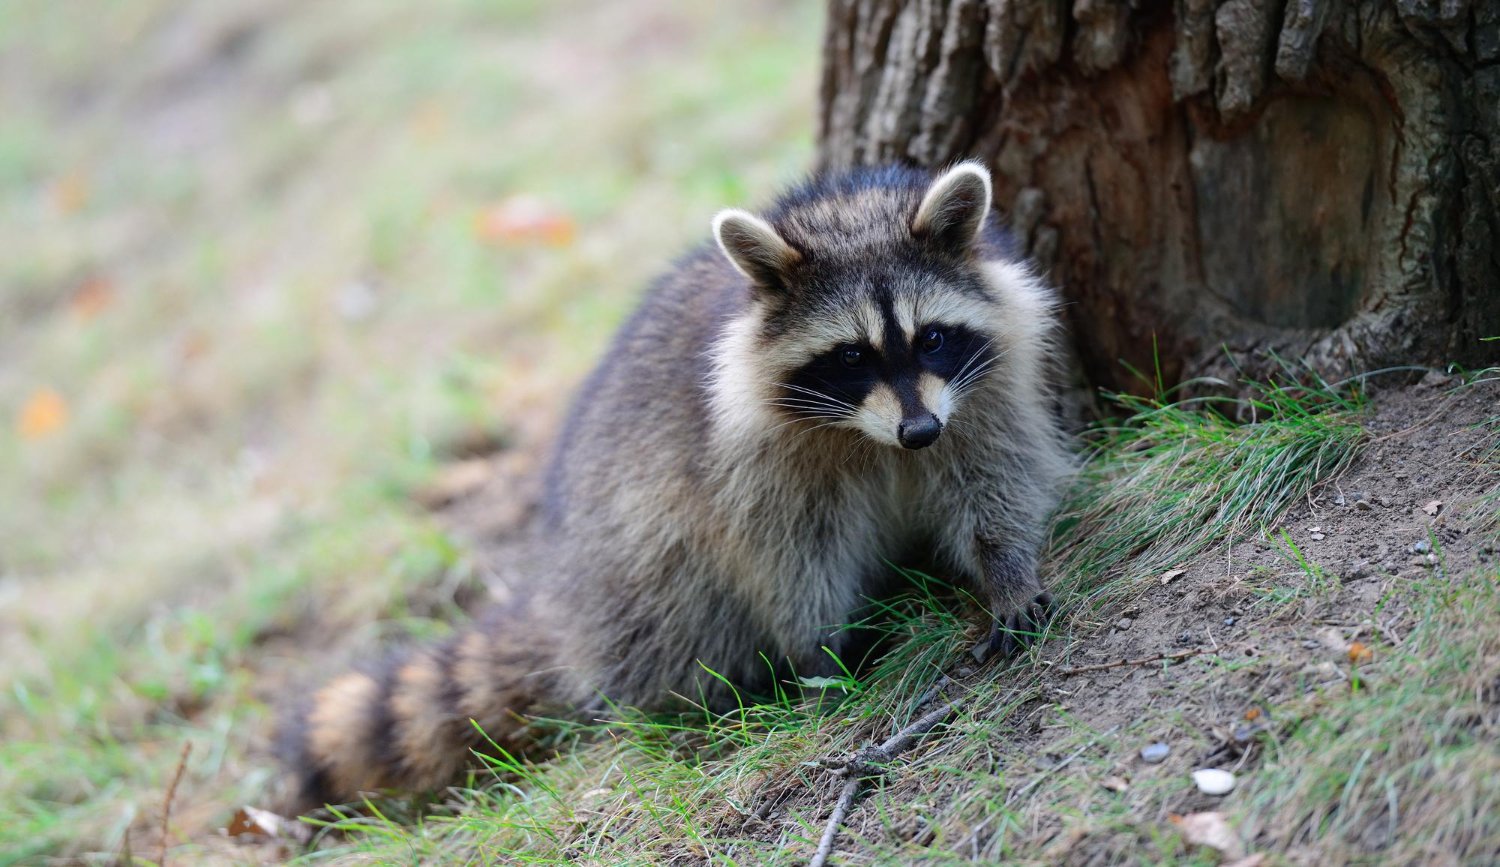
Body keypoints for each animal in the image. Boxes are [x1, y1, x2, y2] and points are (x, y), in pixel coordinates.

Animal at [279, 161, 1072, 809]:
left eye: (930, 337)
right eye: (851, 356)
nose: (919, 433)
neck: (870, 434)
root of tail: (563, 599)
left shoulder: (983, 391)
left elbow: (995, 481)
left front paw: (1005, 570)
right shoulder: (750, 461)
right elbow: (788, 554)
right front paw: (820, 647)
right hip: (635, 559)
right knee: (678, 604)